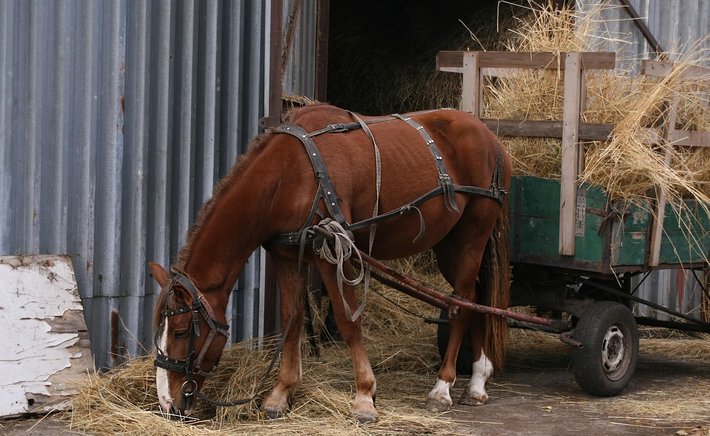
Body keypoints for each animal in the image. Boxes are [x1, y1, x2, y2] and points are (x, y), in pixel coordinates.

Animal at [150, 104, 511, 423]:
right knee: (476, 299)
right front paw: (281, 394)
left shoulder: (333, 253)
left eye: (181, 331)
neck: (292, 172)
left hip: (472, 236)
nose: (168, 405)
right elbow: (292, 320)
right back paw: (478, 381)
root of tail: (489, 137)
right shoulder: (286, 255)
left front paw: (365, 396)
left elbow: (348, 320)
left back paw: (443, 387)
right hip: (449, 246)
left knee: (461, 305)